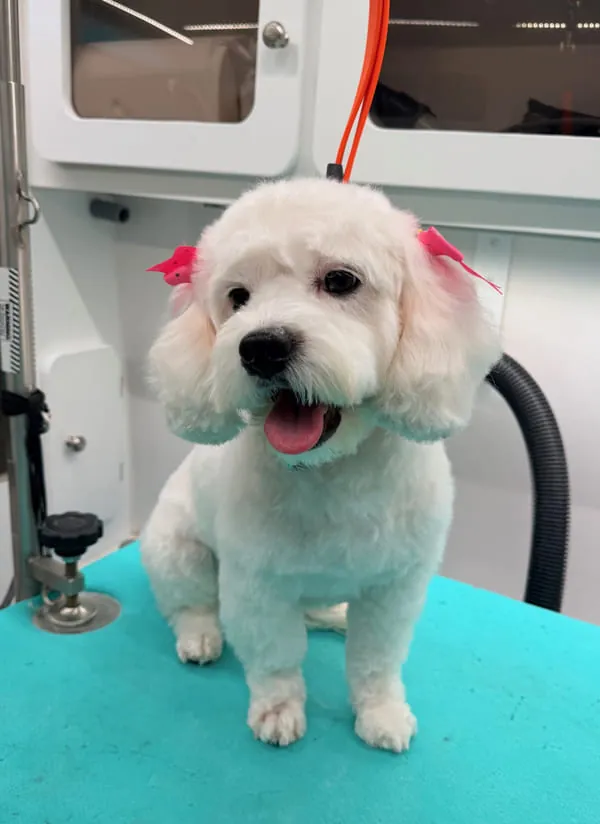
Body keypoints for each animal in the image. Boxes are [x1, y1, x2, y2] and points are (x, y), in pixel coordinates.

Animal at [141, 178, 500, 752]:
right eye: (237, 297)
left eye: (340, 281)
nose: (261, 347)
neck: (332, 469)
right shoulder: (258, 585)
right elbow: (276, 658)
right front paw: (278, 711)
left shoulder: (395, 586)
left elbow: (376, 660)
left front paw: (381, 712)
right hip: (177, 552)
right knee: (188, 604)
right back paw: (200, 635)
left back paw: (330, 614)